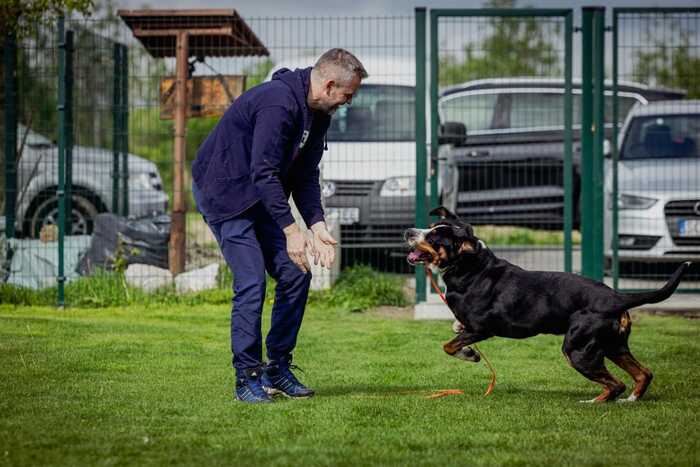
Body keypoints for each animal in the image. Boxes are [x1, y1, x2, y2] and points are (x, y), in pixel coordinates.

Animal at [402, 207, 692, 402]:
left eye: (434, 236)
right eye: (429, 227)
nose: (408, 231)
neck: (470, 267)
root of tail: (616, 296)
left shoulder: (482, 328)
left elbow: (449, 345)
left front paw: (470, 355)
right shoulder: (468, 327)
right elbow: (454, 333)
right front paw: (470, 351)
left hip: (578, 349)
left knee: (616, 384)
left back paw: (592, 402)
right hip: (613, 345)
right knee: (644, 374)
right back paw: (630, 400)